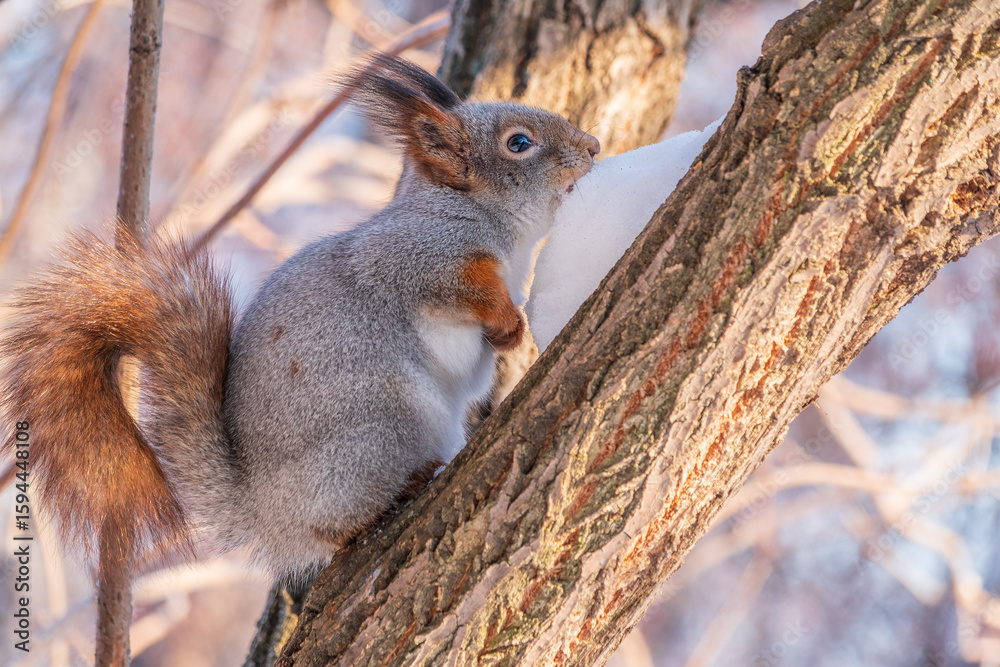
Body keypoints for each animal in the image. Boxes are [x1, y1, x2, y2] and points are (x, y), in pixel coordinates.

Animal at [1, 54, 600, 580]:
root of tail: (265, 515)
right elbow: (461, 286)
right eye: (519, 143)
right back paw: (394, 495)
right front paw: (508, 317)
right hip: (385, 425)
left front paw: (509, 334)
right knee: (332, 528)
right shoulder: (420, 254)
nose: (593, 147)